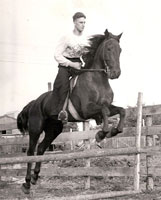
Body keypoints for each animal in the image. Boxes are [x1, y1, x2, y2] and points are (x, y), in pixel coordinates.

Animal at [17, 28, 126, 193]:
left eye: (120, 50)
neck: (97, 80)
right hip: (35, 129)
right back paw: (27, 183)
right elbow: (105, 112)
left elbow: (121, 111)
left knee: (41, 148)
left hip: (54, 129)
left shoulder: (106, 107)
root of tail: (34, 103)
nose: (115, 73)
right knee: (31, 152)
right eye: (108, 48)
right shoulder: (87, 110)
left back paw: (35, 177)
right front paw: (101, 134)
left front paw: (114, 131)